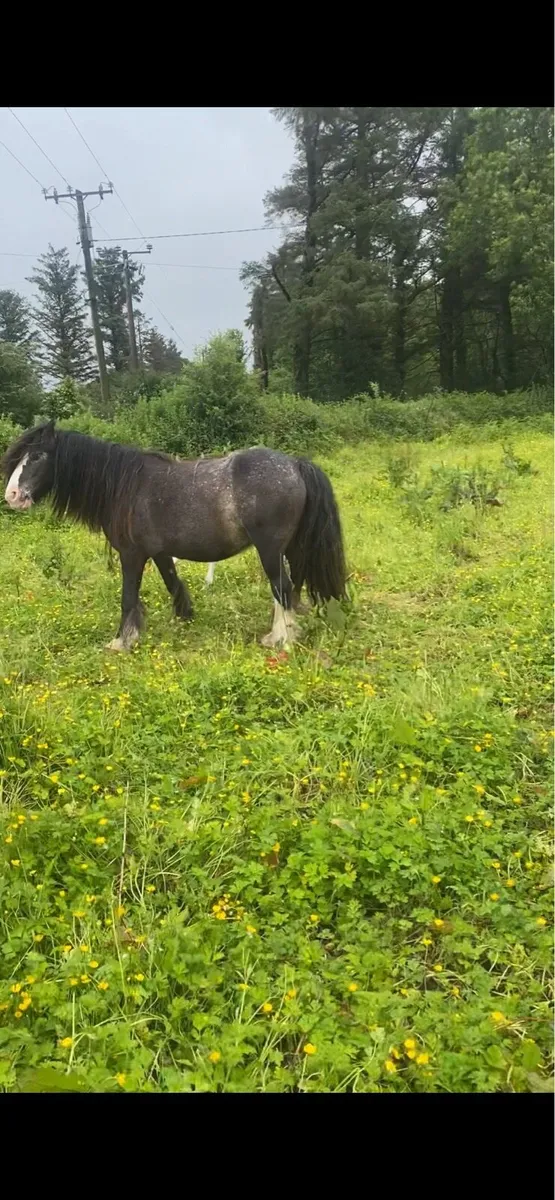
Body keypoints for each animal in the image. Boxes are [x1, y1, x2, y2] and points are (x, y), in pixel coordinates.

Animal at [3, 421, 347, 651]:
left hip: (270, 549)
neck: (125, 486)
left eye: (37, 457)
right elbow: (173, 583)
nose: (12, 495)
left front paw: (122, 641)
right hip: (288, 549)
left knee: (282, 588)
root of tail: (295, 464)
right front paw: (183, 616)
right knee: (289, 588)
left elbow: (128, 597)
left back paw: (281, 640)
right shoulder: (159, 552)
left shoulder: (132, 554)